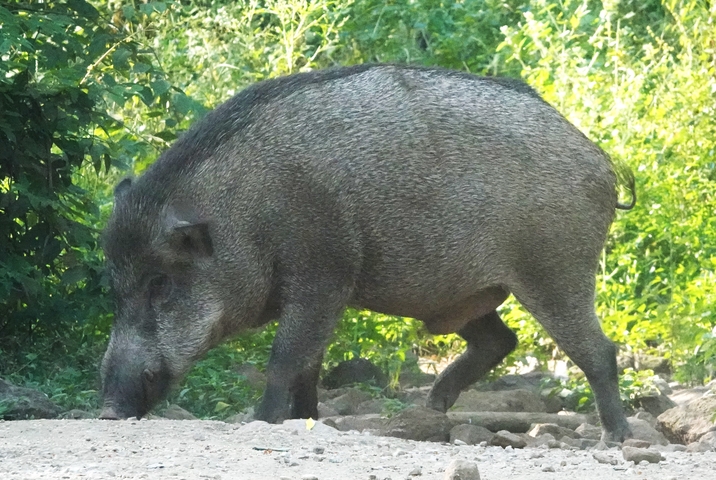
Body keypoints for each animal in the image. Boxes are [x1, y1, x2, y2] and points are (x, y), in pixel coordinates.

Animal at [99, 64, 635, 442]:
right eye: (116, 288)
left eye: (161, 283)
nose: (106, 411)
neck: (247, 215)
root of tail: (602, 163)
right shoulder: (318, 290)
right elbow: (308, 366)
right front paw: (306, 420)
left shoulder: (324, 275)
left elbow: (285, 358)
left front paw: (262, 422)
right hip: (465, 295)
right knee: (501, 341)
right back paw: (433, 409)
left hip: (556, 271)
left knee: (598, 351)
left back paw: (614, 439)